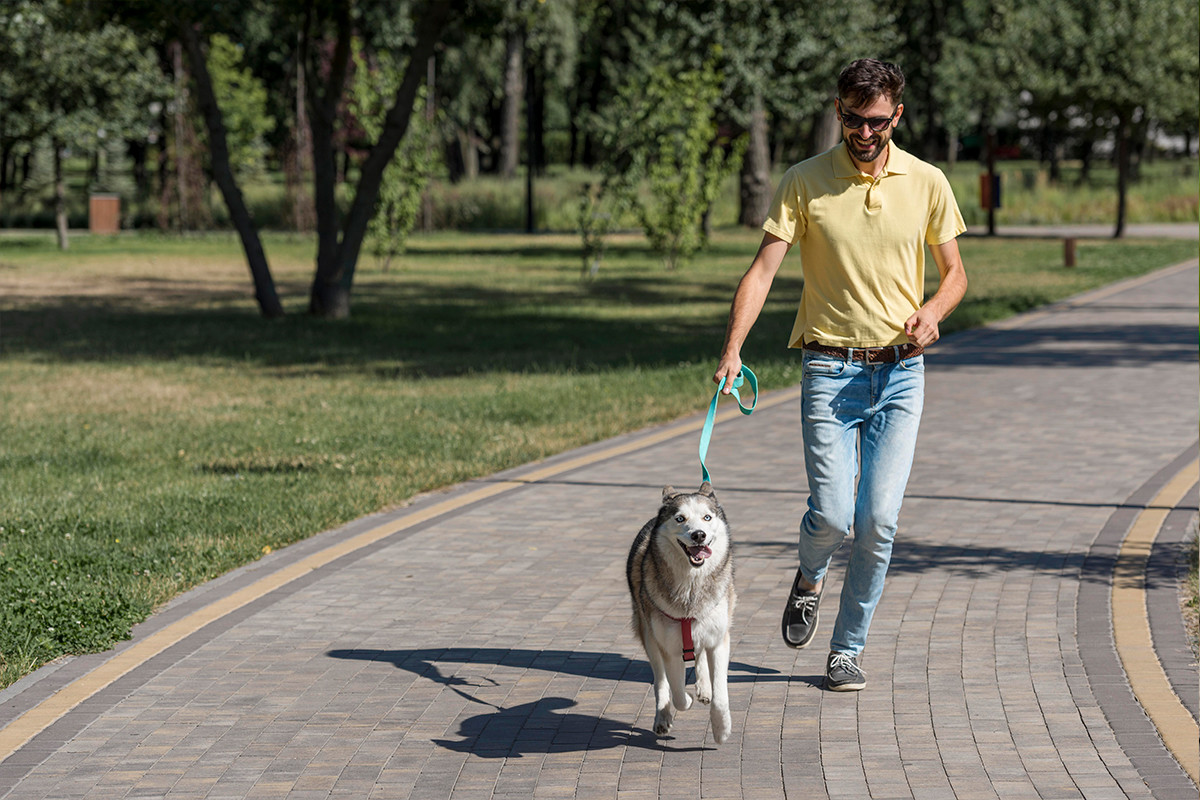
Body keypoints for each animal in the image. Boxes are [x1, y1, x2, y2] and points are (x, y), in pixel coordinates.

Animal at [628, 482, 729, 743]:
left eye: (707, 517)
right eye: (680, 518)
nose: (698, 535)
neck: (691, 586)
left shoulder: (719, 639)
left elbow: (720, 692)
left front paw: (721, 729)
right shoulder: (670, 647)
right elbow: (679, 695)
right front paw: (687, 700)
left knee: (700, 654)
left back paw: (704, 688)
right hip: (649, 635)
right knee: (661, 681)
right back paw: (663, 716)